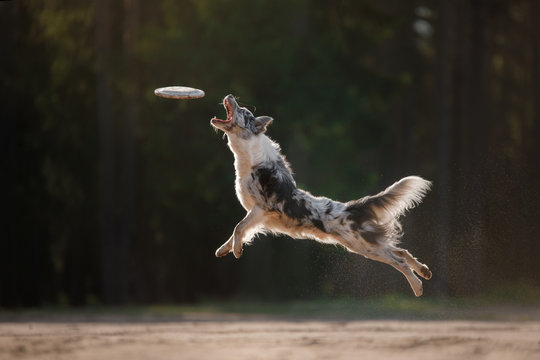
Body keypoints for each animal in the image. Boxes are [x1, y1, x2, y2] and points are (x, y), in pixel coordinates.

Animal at [209, 95, 432, 296]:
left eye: (243, 112)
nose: (230, 95)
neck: (250, 160)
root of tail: (352, 207)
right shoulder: (257, 216)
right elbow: (239, 231)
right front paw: (224, 249)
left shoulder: (262, 209)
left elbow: (238, 228)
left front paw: (237, 251)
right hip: (362, 244)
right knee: (400, 251)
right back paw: (424, 271)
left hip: (364, 245)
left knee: (399, 260)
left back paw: (417, 286)